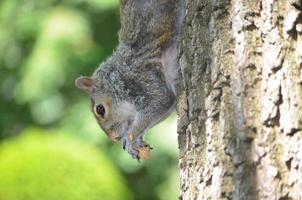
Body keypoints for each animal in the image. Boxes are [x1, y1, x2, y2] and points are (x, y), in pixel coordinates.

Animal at [75, 0, 184, 160]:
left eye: (100, 110)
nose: (114, 138)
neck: (117, 77)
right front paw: (134, 142)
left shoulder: (138, 78)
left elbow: (160, 101)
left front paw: (130, 137)